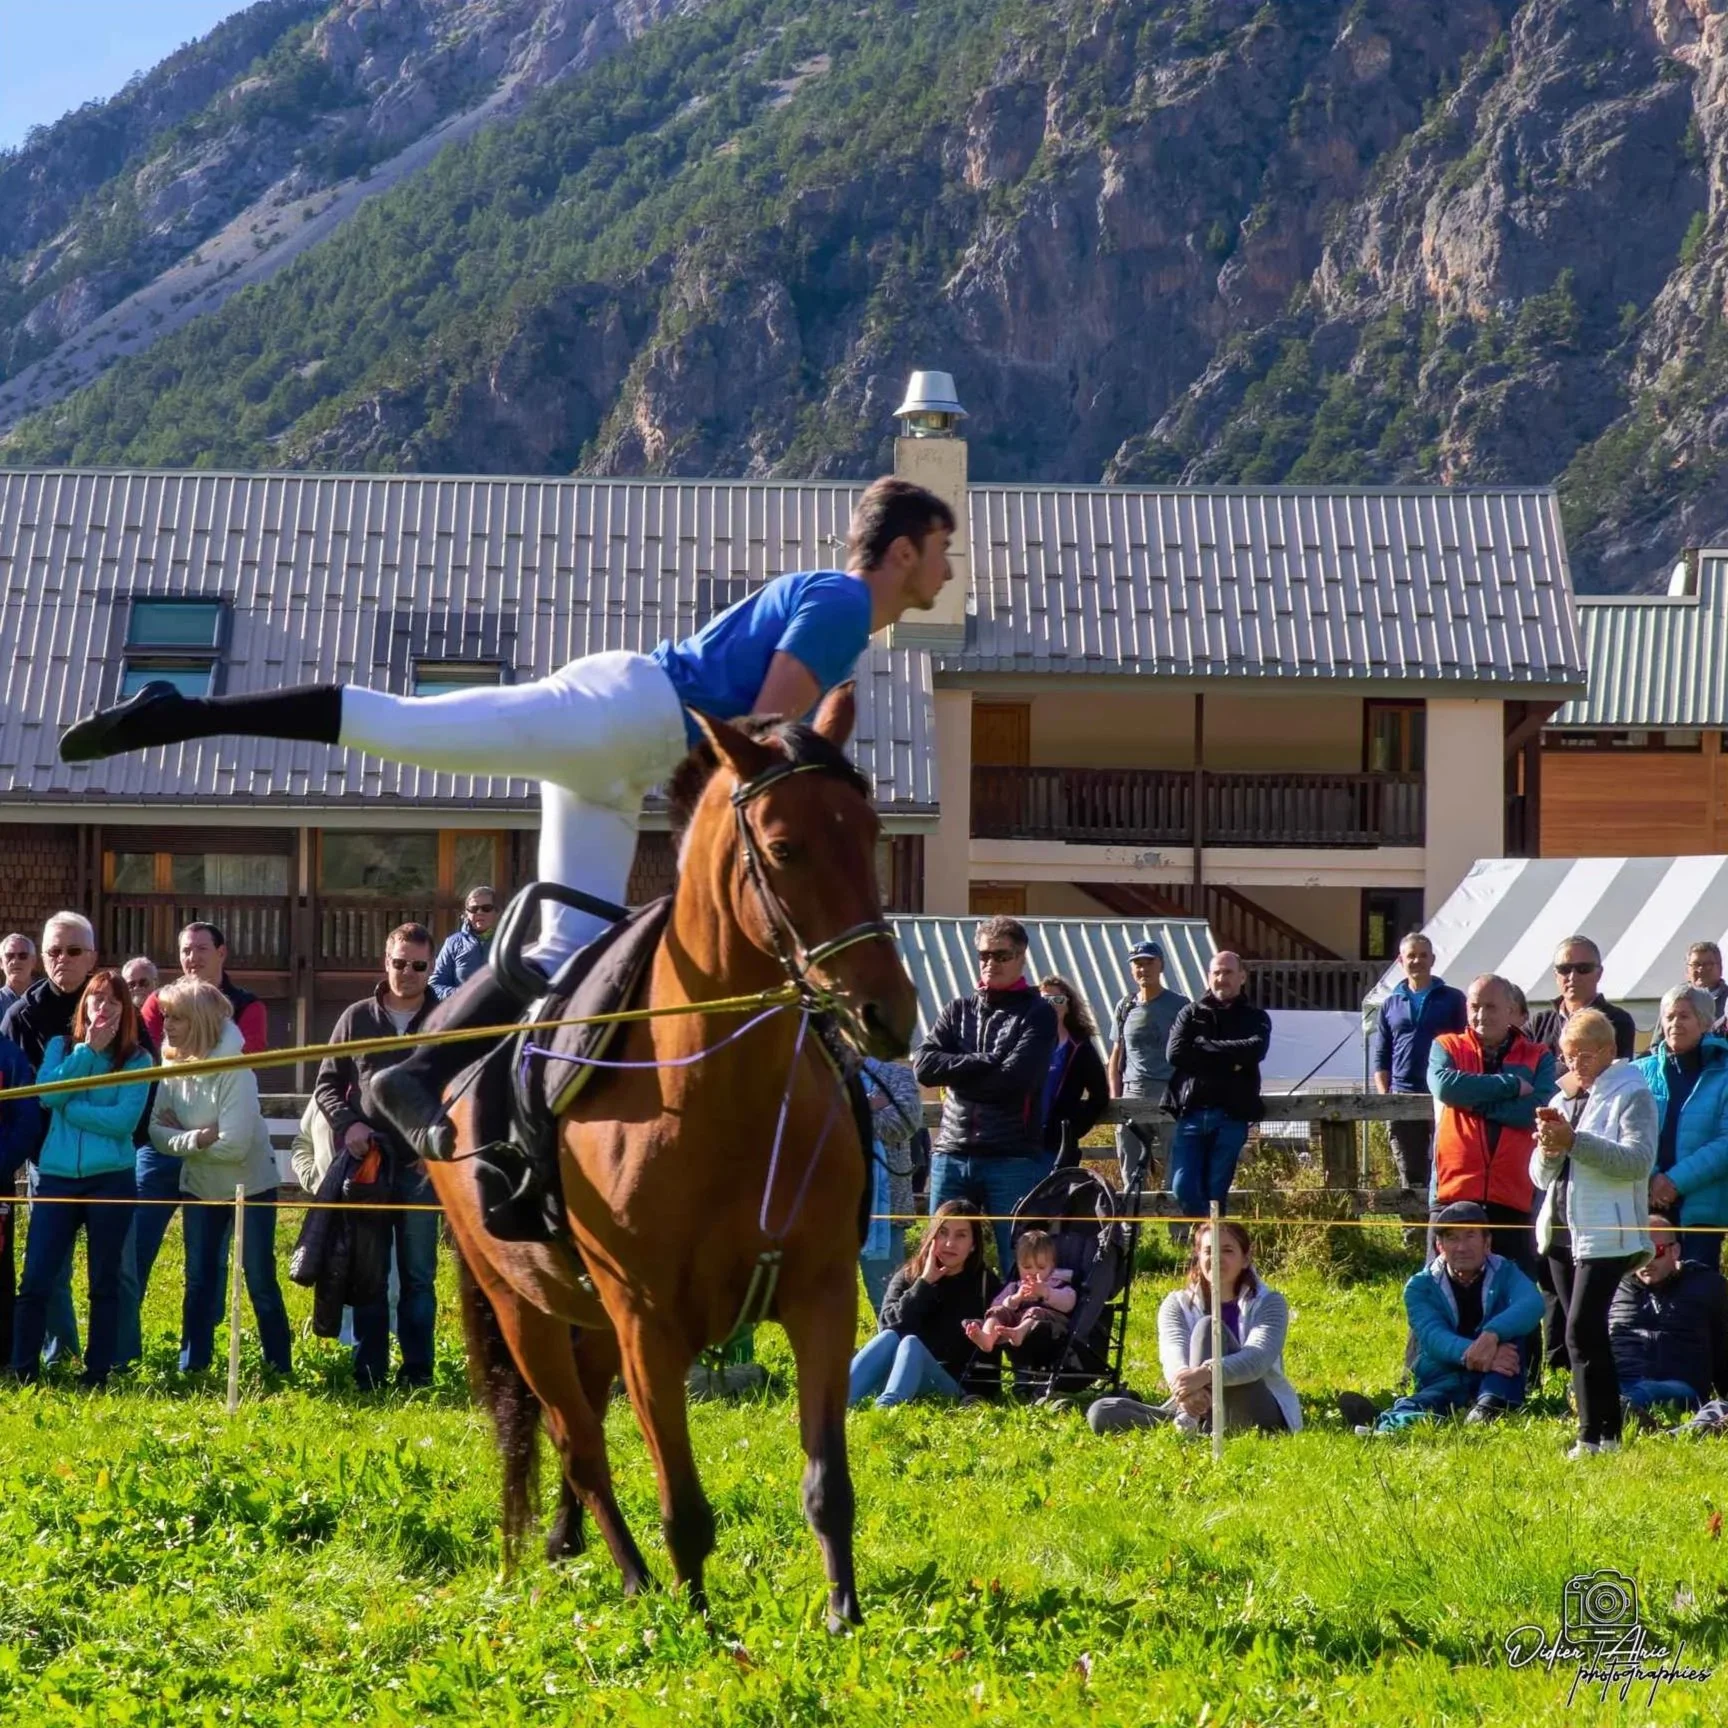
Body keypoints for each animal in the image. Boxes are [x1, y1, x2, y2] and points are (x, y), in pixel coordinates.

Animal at [421, 684, 919, 1628]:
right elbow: (682, 1505)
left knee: (578, 1428)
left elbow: (827, 1484)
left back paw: (568, 1543)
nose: (887, 1012)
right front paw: (695, 1623)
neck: (721, 1099)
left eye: (872, 832)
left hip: (590, 1325)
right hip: (524, 1310)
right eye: (785, 847)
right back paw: (631, 1576)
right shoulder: (649, 1326)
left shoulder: (822, 1299)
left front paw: (843, 1614)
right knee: (576, 1441)